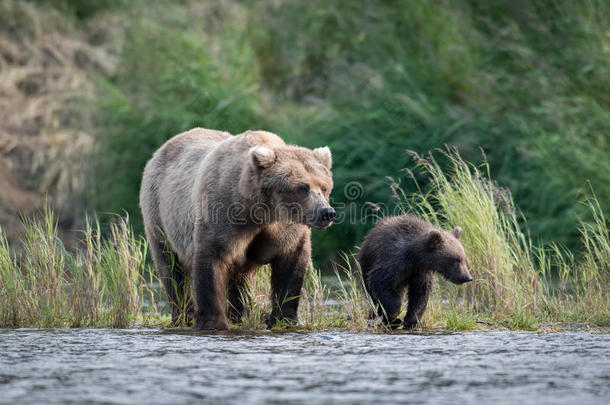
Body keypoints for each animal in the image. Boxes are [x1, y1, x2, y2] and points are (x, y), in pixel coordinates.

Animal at [139, 128, 332, 330]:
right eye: (303, 187)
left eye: (324, 187)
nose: (326, 212)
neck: (260, 210)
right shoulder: (222, 213)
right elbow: (211, 260)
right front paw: (213, 322)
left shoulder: (284, 229)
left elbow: (291, 265)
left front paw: (286, 319)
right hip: (159, 214)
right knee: (171, 269)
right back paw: (184, 316)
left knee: (240, 278)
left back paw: (239, 315)